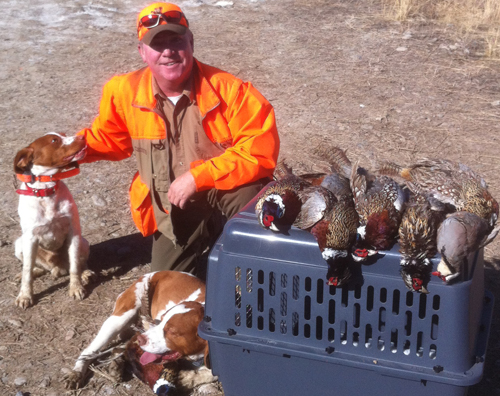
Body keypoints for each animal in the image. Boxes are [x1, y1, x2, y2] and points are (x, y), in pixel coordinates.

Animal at [13, 133, 93, 310]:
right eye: (54, 140)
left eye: (63, 134)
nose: (82, 136)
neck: (46, 191)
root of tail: (57, 268)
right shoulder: (30, 239)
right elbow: (27, 271)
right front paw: (25, 296)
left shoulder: (73, 233)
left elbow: (74, 266)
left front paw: (76, 287)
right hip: (19, 244)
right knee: (36, 268)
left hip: (83, 242)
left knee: (77, 264)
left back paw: (85, 273)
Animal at [63, 270, 217, 392]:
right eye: (160, 321)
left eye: (172, 332)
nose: (142, 339)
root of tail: (149, 274)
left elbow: (212, 373)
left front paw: (189, 377)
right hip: (119, 319)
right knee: (89, 350)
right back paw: (76, 373)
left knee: (122, 347)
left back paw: (116, 365)